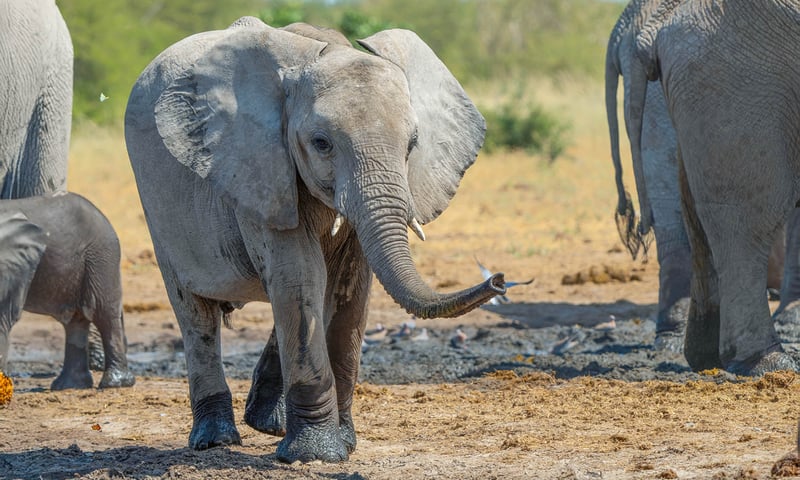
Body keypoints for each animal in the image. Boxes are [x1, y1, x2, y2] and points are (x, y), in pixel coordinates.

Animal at [124, 18, 505, 462]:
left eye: (412, 145)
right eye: (322, 144)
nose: (498, 279)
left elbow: (347, 289)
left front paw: (342, 444)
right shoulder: (259, 170)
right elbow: (300, 276)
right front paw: (317, 455)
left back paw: (267, 424)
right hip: (157, 207)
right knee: (195, 312)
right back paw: (216, 439)